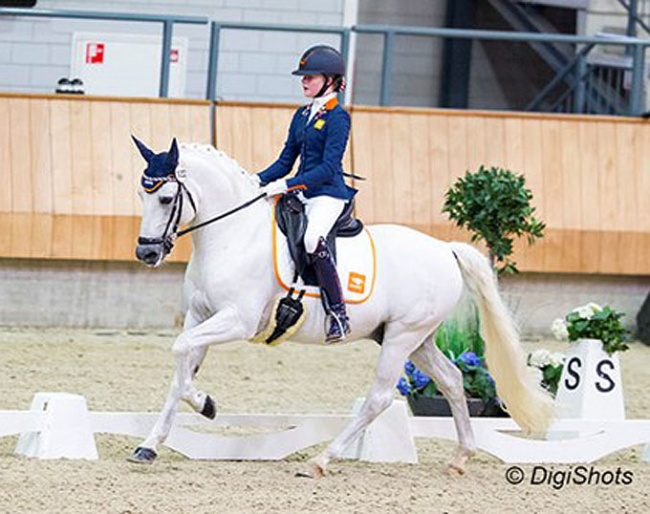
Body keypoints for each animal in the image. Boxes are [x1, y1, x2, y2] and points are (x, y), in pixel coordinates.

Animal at [130, 138, 552, 474]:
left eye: (165, 198)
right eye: (141, 196)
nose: (146, 253)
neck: (234, 235)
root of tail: (445, 250)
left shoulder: (238, 320)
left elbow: (180, 354)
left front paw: (205, 404)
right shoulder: (199, 316)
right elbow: (180, 369)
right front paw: (150, 445)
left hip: (403, 336)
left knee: (379, 398)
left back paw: (323, 460)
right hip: (416, 338)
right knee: (452, 379)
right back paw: (461, 457)